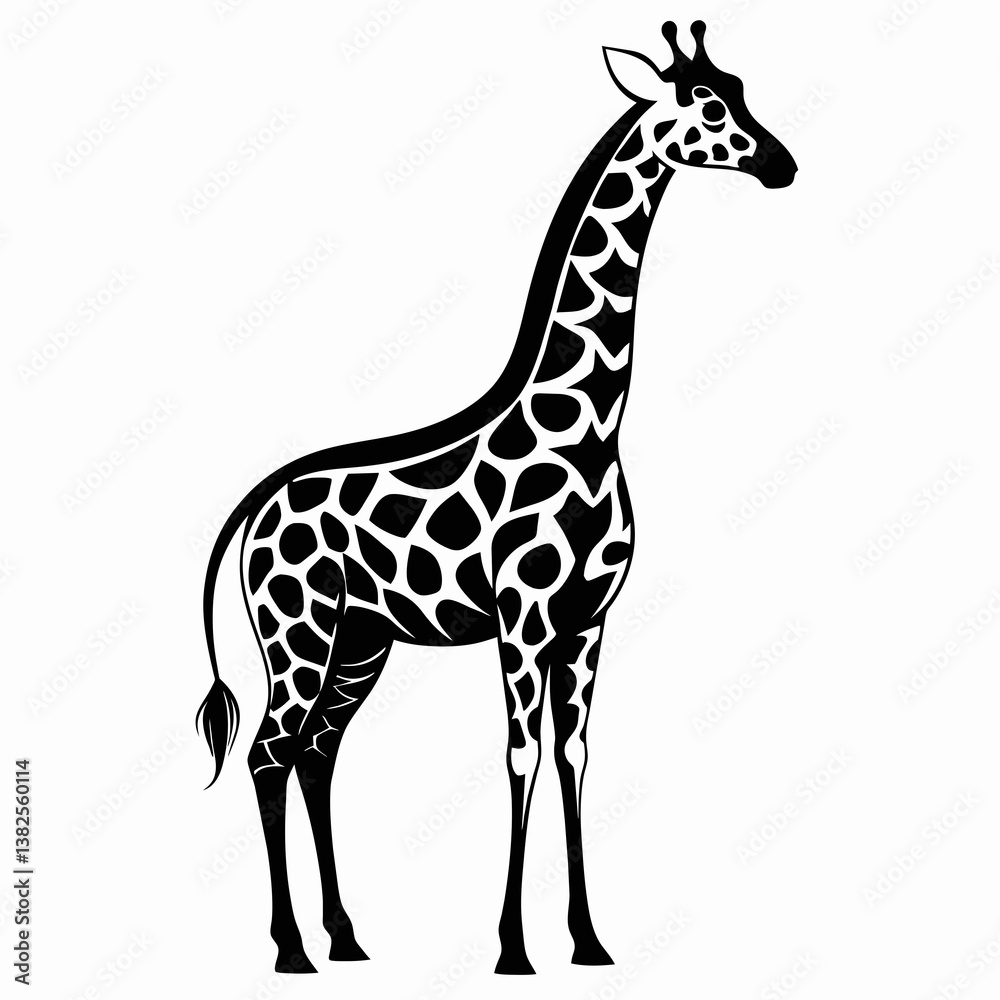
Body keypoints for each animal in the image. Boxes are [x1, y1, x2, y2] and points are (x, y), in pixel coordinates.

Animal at [196, 20, 796, 976]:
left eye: (740, 91)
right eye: (706, 107)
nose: (782, 165)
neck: (589, 425)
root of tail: (253, 509)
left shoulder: (586, 621)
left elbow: (574, 753)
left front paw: (587, 939)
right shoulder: (522, 618)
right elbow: (519, 755)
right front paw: (513, 946)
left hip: (360, 642)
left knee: (318, 754)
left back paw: (346, 938)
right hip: (298, 635)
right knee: (269, 751)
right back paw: (291, 948)